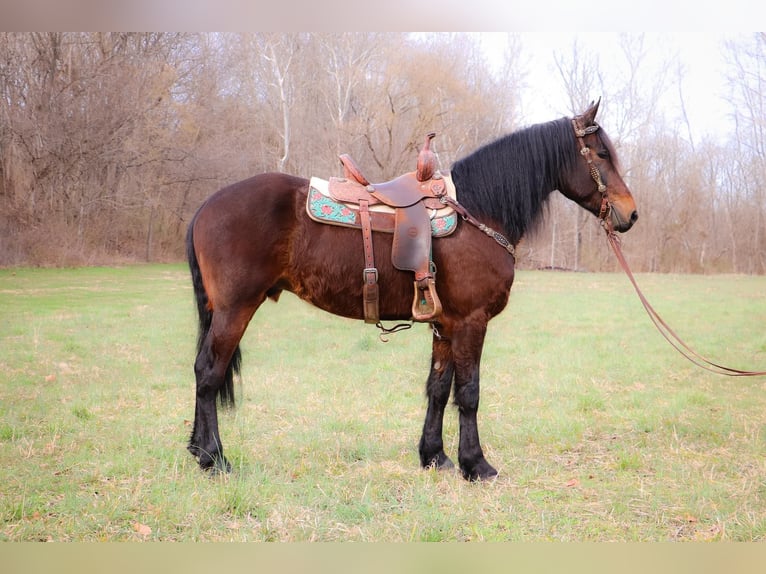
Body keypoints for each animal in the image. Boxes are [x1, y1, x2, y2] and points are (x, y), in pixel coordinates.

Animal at [184, 102, 636, 482]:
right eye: (600, 154)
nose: (630, 214)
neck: (479, 213)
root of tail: (206, 206)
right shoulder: (471, 322)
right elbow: (468, 393)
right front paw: (476, 465)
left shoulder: (445, 325)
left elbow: (438, 388)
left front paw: (435, 456)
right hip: (235, 309)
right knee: (209, 373)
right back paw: (214, 458)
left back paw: (197, 450)